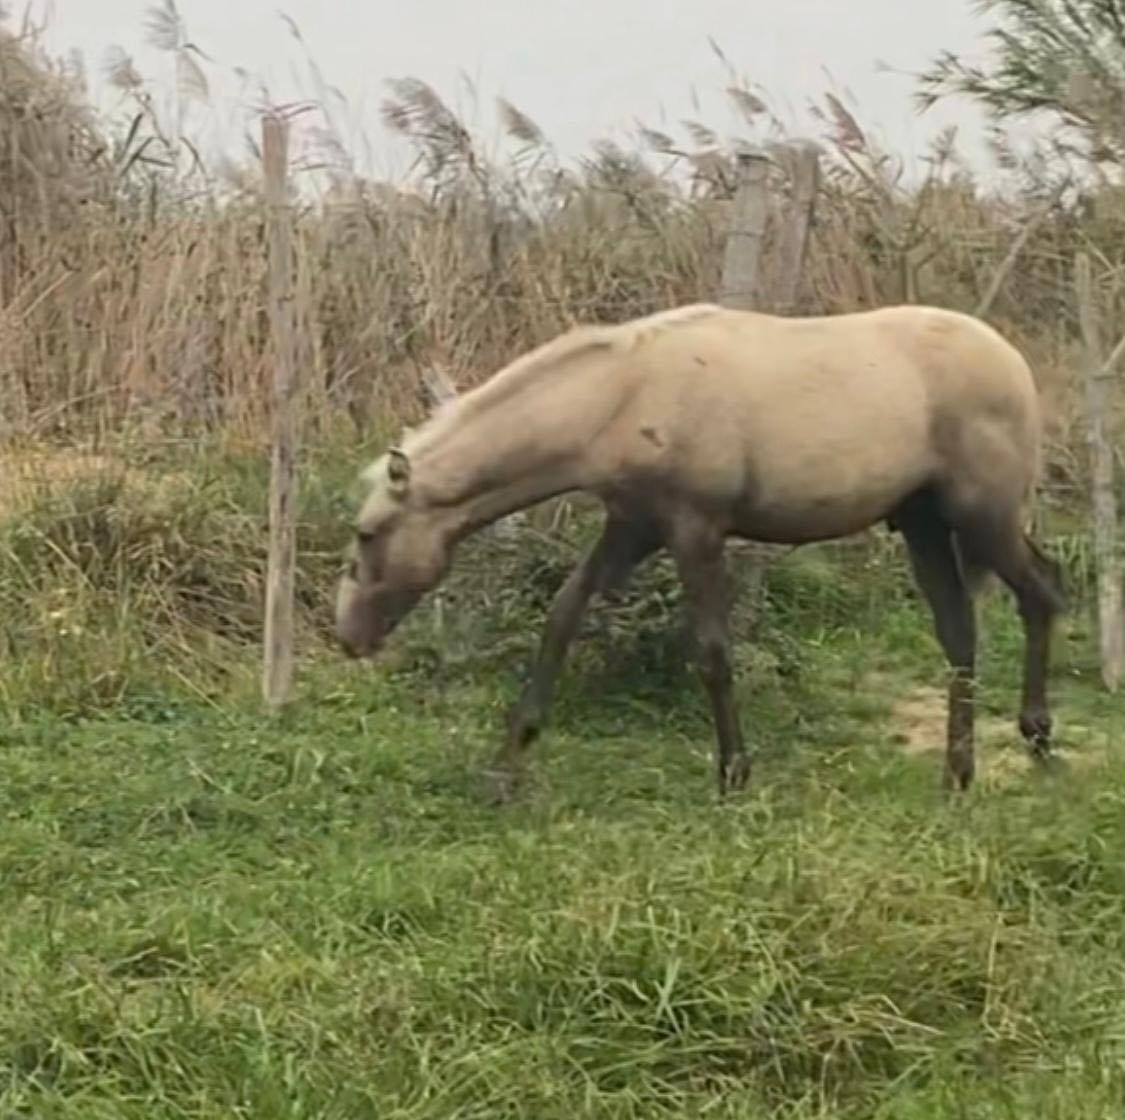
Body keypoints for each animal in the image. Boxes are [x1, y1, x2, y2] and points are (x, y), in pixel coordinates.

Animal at [330, 303, 1062, 796]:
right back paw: (958, 772)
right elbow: (563, 615)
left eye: (367, 534)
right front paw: (508, 761)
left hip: (984, 517)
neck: (623, 395)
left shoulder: (695, 530)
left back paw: (1037, 736)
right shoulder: (632, 527)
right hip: (923, 524)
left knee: (1042, 592)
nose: (348, 637)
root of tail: (1014, 363)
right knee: (959, 633)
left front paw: (734, 773)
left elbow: (711, 652)